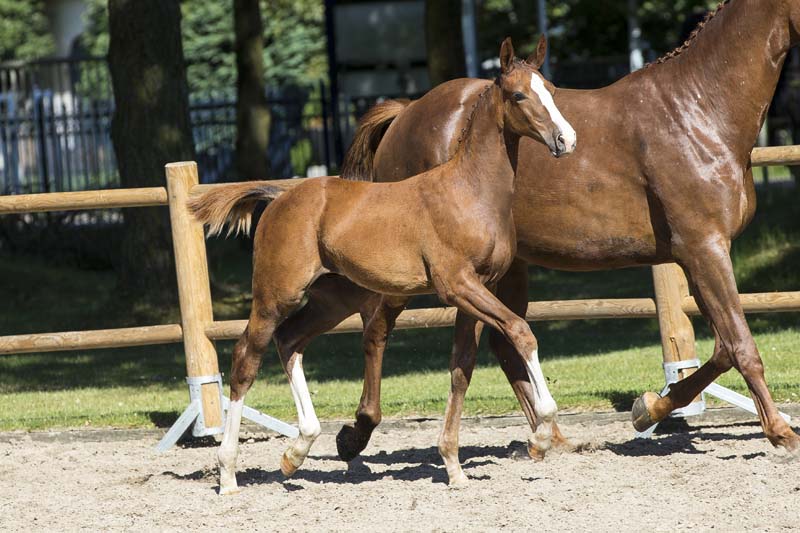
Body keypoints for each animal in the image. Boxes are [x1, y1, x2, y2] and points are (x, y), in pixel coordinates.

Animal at [188, 38, 576, 494]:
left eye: (551, 88)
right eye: (518, 95)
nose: (566, 139)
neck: (470, 190)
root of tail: (279, 197)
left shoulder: (478, 291)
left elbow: (461, 367)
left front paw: (454, 466)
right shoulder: (457, 285)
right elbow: (520, 331)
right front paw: (541, 436)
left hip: (331, 301)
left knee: (290, 341)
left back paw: (296, 452)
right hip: (275, 295)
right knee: (246, 359)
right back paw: (229, 472)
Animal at [276, 0, 800, 462]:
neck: (697, 109)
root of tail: (406, 112)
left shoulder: (697, 255)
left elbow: (722, 349)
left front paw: (647, 408)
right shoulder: (704, 248)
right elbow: (741, 345)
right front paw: (781, 433)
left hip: (506, 268)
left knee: (500, 344)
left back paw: (550, 438)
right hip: (411, 271)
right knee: (378, 329)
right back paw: (356, 433)